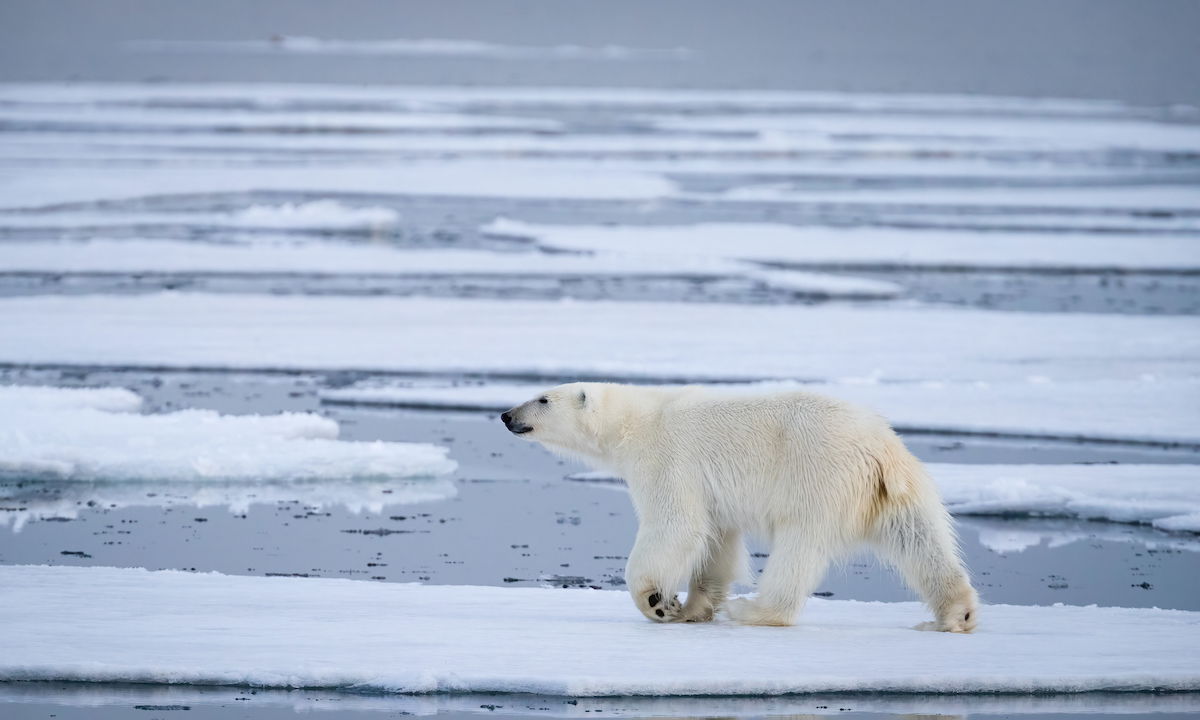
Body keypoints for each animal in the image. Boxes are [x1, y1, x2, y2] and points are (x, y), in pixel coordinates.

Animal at [501, 381, 979, 628]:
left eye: (543, 398)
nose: (506, 415)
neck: (639, 419)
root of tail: (879, 448)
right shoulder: (710, 491)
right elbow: (716, 540)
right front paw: (694, 608)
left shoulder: (668, 459)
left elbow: (675, 525)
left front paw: (658, 601)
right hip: (897, 488)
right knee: (919, 537)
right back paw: (955, 613)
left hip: (818, 478)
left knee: (798, 547)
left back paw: (754, 609)